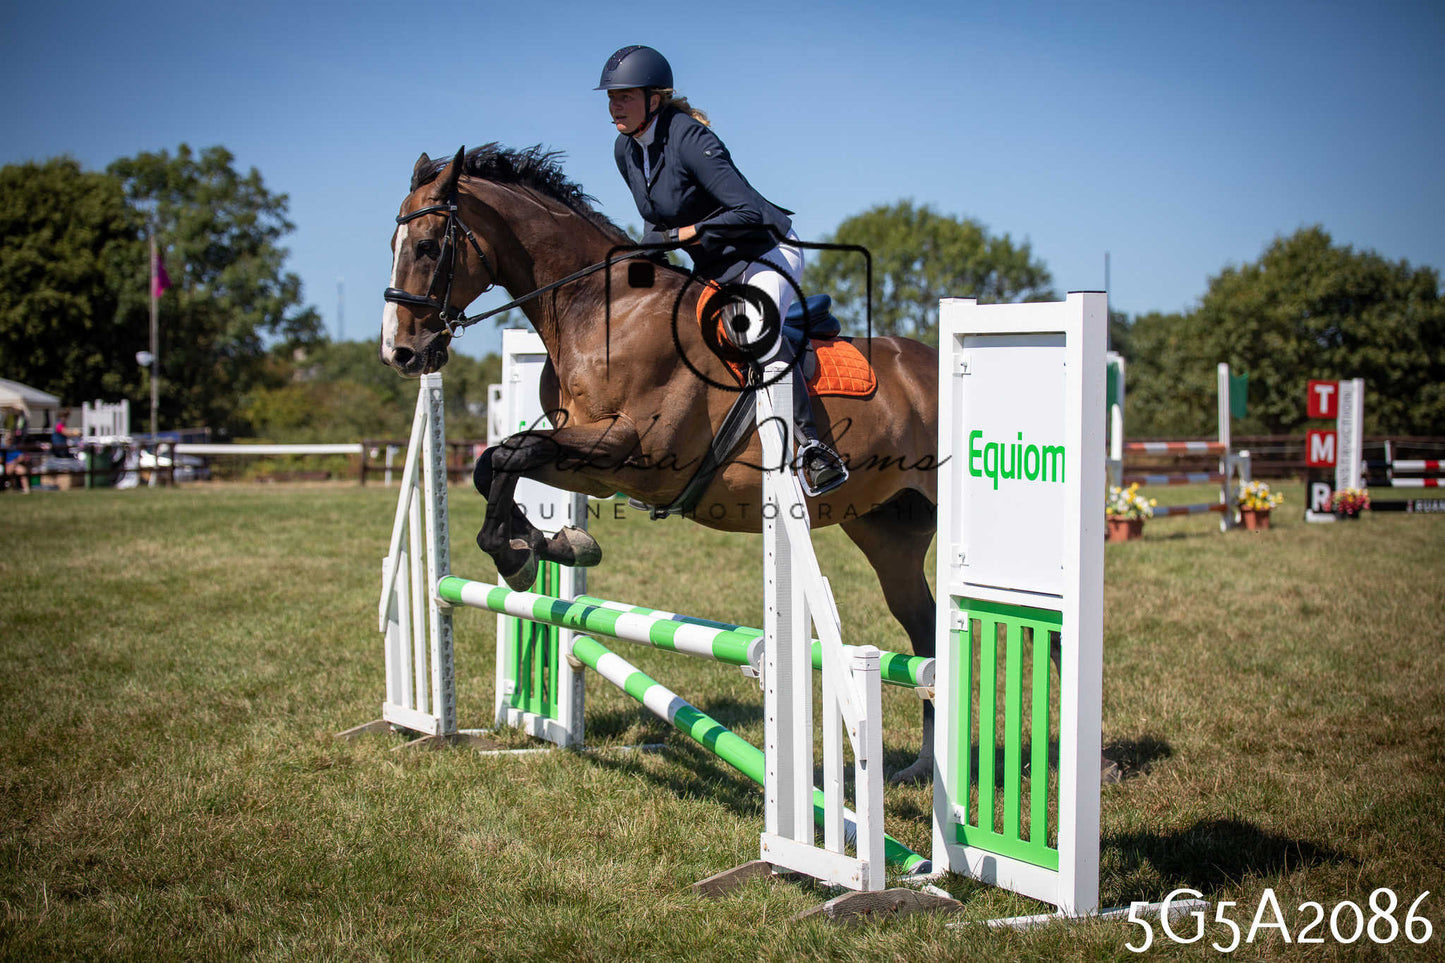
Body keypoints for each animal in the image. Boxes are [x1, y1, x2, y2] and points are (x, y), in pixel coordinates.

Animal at [380, 145, 940, 783]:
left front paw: (521, 555)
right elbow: (496, 461)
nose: (400, 353)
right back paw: (924, 768)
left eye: (428, 246)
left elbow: (513, 454)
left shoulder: (635, 451)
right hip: (887, 530)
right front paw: (547, 544)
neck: (599, 309)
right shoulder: (593, 463)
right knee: (924, 632)